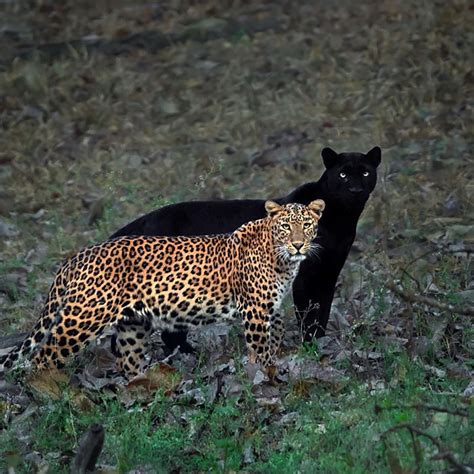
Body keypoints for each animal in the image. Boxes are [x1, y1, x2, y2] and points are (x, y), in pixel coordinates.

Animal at [0, 199, 324, 378]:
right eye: (285, 226)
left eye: (307, 225)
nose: (298, 245)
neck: (281, 258)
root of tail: (76, 256)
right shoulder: (255, 310)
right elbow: (260, 348)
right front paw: (265, 376)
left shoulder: (271, 308)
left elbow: (274, 338)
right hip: (84, 318)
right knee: (42, 357)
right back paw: (48, 391)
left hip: (133, 324)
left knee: (128, 361)